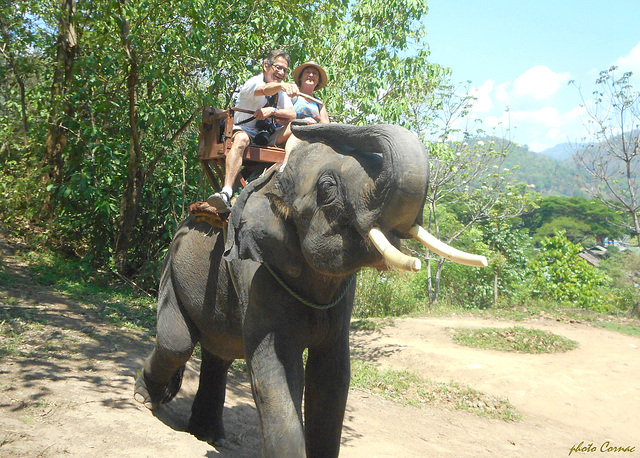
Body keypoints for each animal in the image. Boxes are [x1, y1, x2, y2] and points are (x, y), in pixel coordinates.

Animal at [135, 123, 484, 456]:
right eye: (327, 188)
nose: (299, 126)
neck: (272, 182)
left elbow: (332, 375)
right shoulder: (253, 274)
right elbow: (276, 370)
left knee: (218, 353)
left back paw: (207, 434)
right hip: (172, 268)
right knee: (177, 343)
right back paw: (144, 401)